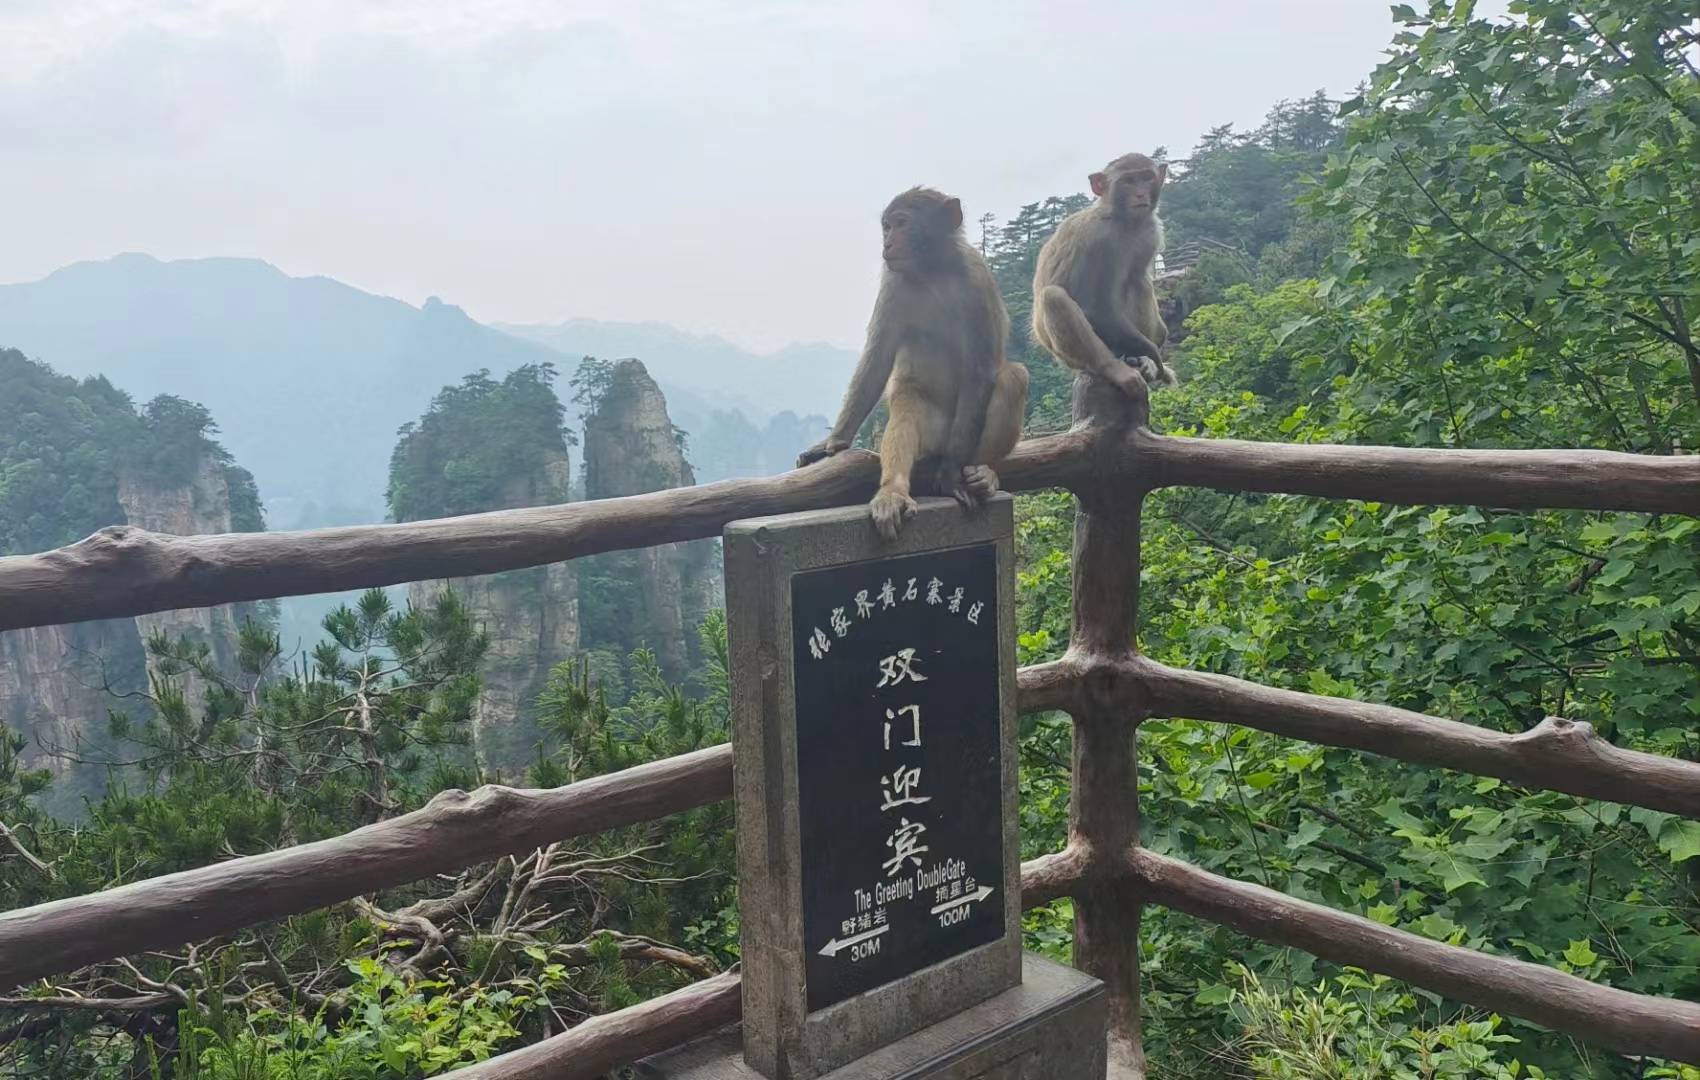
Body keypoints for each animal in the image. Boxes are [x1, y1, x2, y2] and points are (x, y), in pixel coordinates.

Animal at [792, 187, 1020, 540]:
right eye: (886, 227)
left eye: (901, 224)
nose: (887, 243)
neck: (932, 271)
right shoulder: (893, 283)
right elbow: (877, 361)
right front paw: (833, 443)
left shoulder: (977, 281)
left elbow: (981, 371)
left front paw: (951, 474)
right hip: (930, 432)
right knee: (906, 399)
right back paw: (893, 492)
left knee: (1012, 377)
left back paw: (984, 472)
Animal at [1026, 153, 1176, 401]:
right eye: (1128, 181)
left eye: (1146, 178)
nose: (1140, 194)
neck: (1123, 220)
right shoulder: (1098, 240)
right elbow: (1095, 307)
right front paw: (1154, 353)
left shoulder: (1150, 231)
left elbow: (1138, 277)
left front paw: (1157, 346)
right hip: (1067, 356)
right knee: (1053, 296)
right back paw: (1113, 368)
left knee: (1138, 280)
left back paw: (1141, 360)